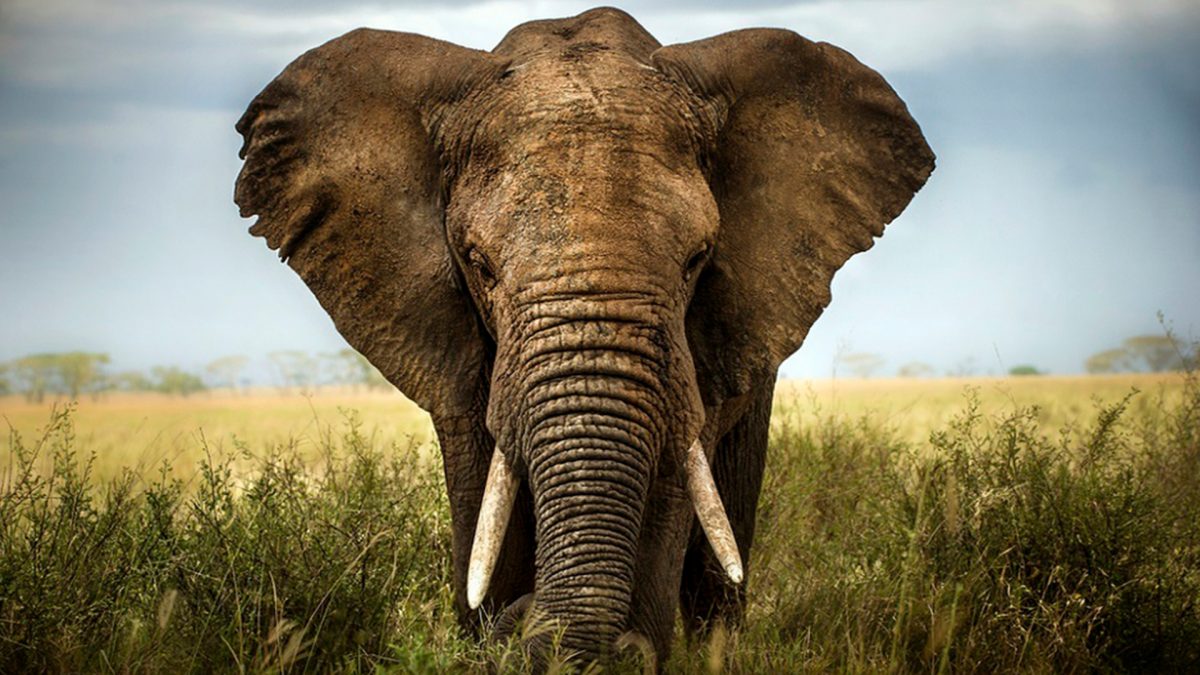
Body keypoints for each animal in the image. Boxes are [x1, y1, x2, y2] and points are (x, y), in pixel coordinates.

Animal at [234, 6, 933, 667]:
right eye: (478, 264)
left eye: (697, 260)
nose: (525, 618)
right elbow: (481, 490)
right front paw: (493, 627)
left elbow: (672, 485)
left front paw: (624, 647)